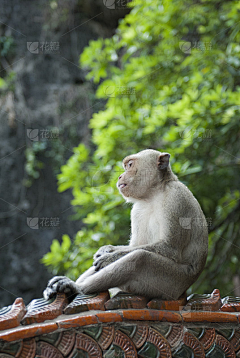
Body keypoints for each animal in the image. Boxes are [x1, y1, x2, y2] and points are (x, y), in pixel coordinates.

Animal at [44, 150, 209, 300]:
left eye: (129, 165)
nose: (120, 176)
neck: (153, 194)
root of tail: (183, 290)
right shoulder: (137, 210)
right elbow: (135, 245)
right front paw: (107, 249)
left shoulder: (176, 198)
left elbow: (169, 248)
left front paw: (109, 257)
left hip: (170, 283)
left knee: (139, 258)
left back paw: (78, 287)